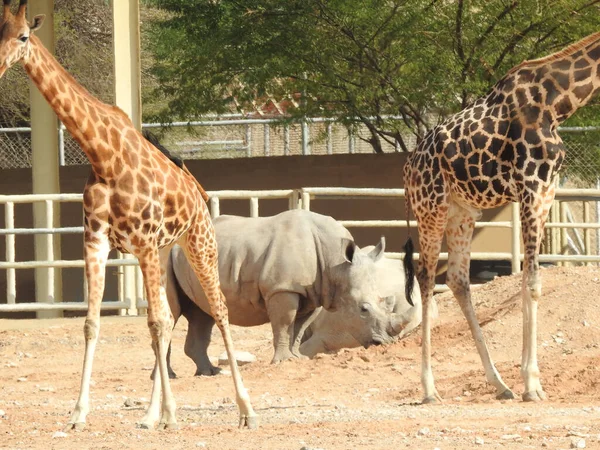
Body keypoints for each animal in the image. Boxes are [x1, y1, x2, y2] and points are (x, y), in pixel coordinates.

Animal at [0, 0, 255, 428]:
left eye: (22, 36)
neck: (103, 156)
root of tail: (198, 193)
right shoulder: (99, 242)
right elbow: (93, 323)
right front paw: (79, 412)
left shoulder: (144, 243)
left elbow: (155, 321)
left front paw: (171, 413)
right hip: (162, 252)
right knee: (167, 315)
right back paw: (151, 415)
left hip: (198, 244)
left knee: (215, 309)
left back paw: (245, 410)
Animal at [400, 31, 600, 404]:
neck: (558, 103)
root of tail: (407, 169)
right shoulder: (532, 187)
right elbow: (533, 283)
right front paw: (533, 384)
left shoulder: (547, 190)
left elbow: (525, 281)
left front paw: (524, 380)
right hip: (431, 209)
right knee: (426, 277)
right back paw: (430, 389)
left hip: (462, 213)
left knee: (458, 279)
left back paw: (499, 384)